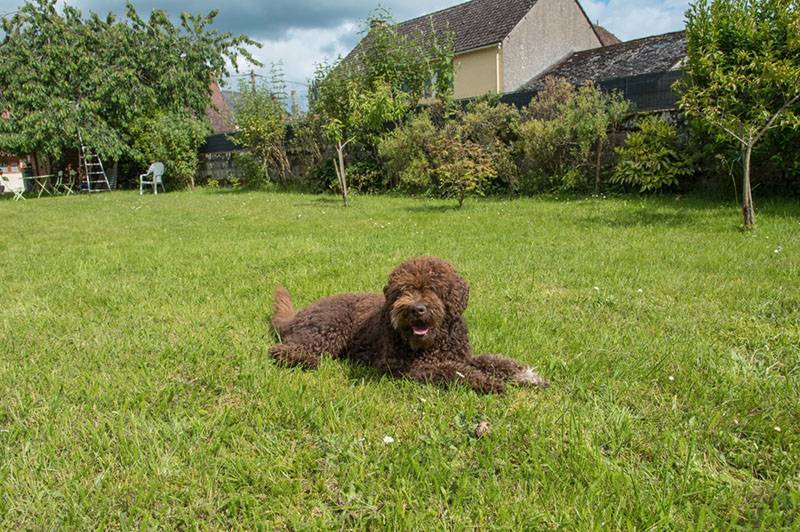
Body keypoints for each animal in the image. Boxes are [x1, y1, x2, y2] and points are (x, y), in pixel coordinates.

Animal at [268, 256, 552, 392]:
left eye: (433, 288)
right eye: (403, 290)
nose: (416, 309)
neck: (436, 341)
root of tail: (300, 313)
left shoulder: (462, 355)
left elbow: (492, 361)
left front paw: (526, 375)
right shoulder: (407, 367)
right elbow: (452, 371)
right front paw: (487, 382)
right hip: (328, 327)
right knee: (280, 350)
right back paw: (306, 360)